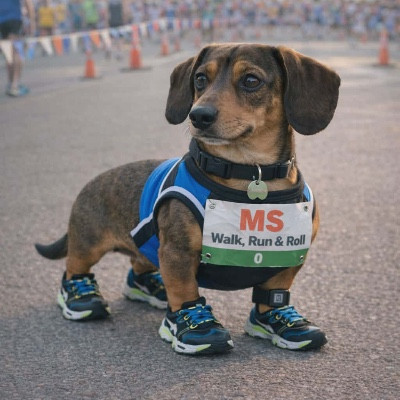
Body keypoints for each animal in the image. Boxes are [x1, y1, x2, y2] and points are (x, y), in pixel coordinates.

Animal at [36, 43, 340, 355]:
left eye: (251, 80)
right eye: (200, 79)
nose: (199, 115)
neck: (249, 175)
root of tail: (90, 184)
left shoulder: (289, 256)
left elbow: (274, 293)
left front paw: (281, 321)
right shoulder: (177, 254)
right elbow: (184, 290)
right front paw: (196, 326)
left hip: (145, 248)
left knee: (139, 264)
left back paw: (153, 288)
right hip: (88, 245)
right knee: (74, 268)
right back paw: (81, 299)